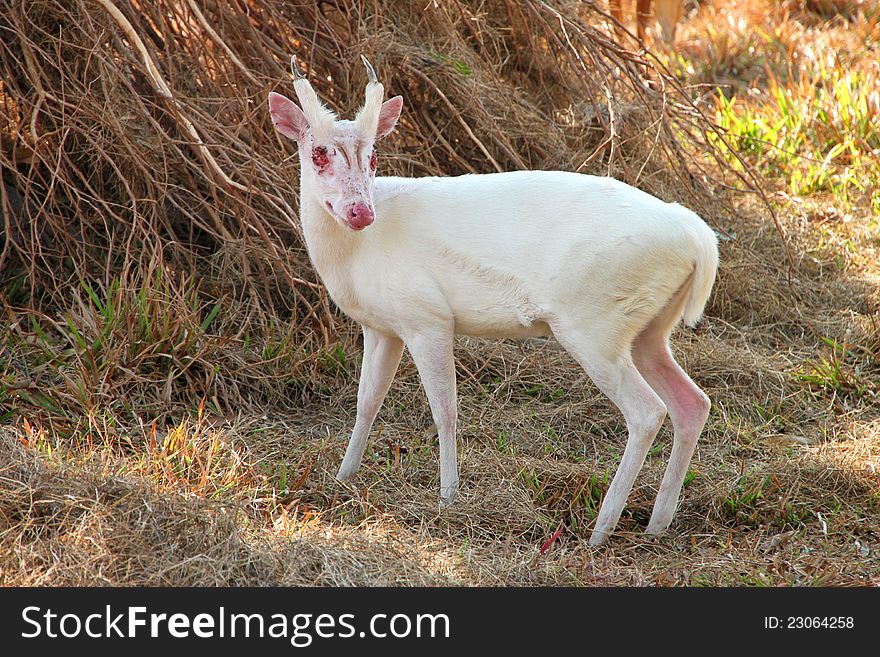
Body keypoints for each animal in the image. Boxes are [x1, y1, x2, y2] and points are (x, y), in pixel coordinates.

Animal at [266, 59, 716, 544]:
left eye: (373, 156)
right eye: (319, 152)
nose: (359, 212)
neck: (357, 253)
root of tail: (700, 239)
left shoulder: (427, 317)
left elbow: (445, 411)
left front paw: (448, 497)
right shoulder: (382, 325)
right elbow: (367, 401)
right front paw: (343, 477)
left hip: (595, 324)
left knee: (647, 411)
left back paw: (601, 528)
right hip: (649, 329)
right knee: (692, 402)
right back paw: (657, 523)